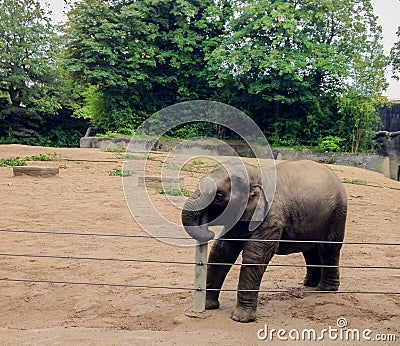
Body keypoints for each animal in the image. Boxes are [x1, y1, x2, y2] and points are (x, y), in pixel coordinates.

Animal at [181, 159, 346, 322]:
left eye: (219, 197)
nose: (208, 230)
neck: (257, 176)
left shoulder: (271, 218)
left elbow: (254, 256)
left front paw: (240, 319)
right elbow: (221, 251)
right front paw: (209, 306)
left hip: (337, 213)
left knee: (328, 248)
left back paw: (325, 290)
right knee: (310, 249)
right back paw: (309, 285)